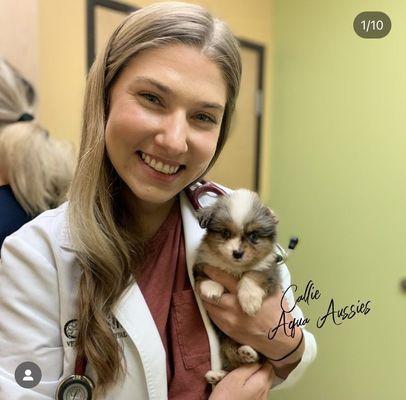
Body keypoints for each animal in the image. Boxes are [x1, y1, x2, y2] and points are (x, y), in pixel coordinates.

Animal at [193, 188, 280, 384]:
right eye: (225, 233)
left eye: (253, 236)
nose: (237, 253)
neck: (234, 268)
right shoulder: (201, 264)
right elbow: (205, 275)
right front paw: (212, 288)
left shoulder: (269, 271)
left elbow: (252, 275)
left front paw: (250, 301)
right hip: (226, 341)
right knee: (234, 362)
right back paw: (217, 375)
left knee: (252, 359)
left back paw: (248, 352)